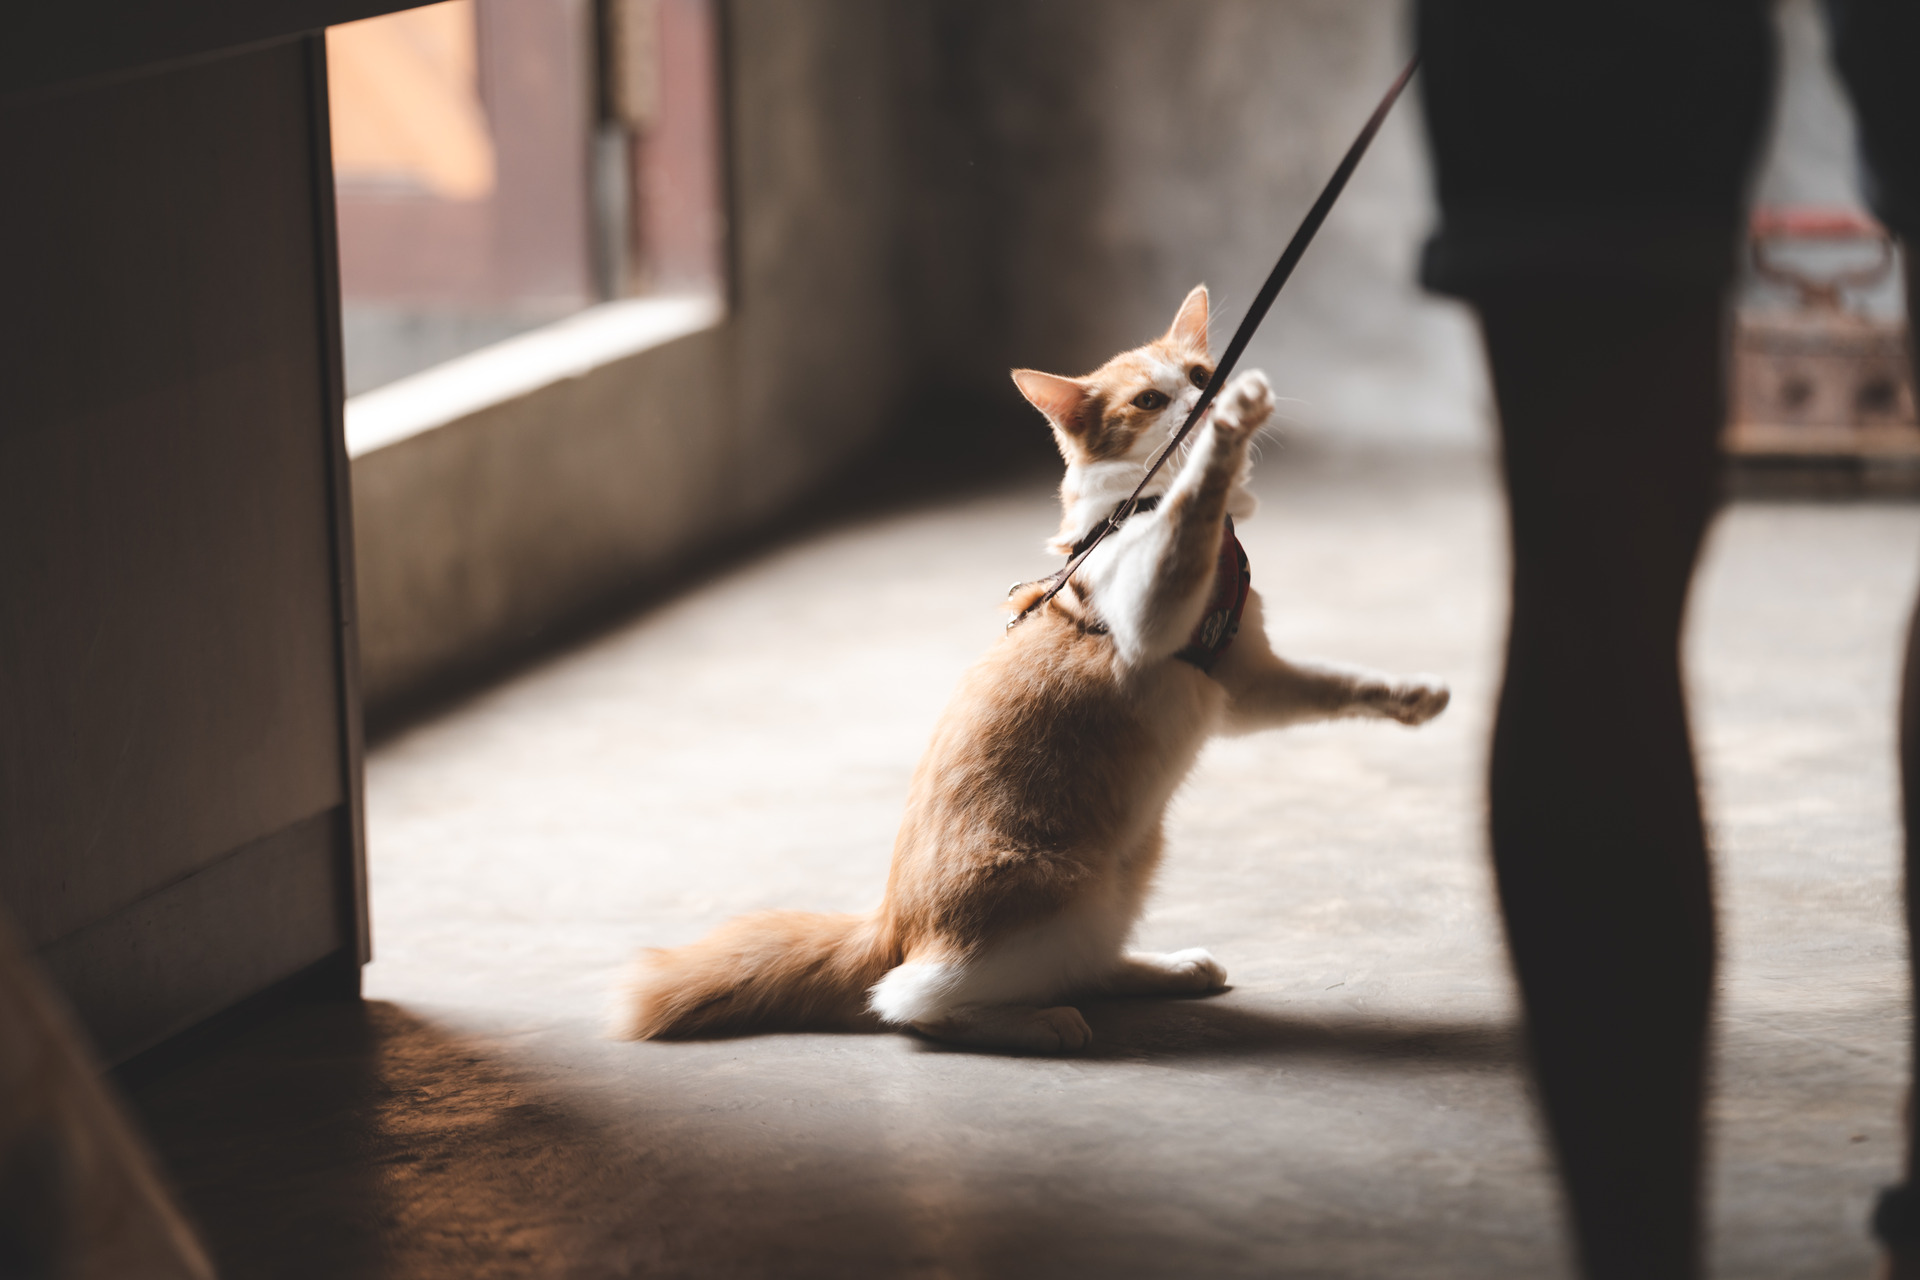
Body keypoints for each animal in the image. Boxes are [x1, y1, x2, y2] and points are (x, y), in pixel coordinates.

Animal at [622, 287, 1443, 1051]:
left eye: (1199, 373)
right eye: (1151, 401)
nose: (1208, 398)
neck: (1135, 505)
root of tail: (889, 924)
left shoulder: (1242, 680)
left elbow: (1333, 683)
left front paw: (1410, 696)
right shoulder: (1150, 615)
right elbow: (1192, 507)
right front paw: (1224, 440)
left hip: (1126, 871)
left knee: (1082, 964)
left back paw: (1164, 968)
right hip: (1050, 886)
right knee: (909, 1001)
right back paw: (1039, 1023)